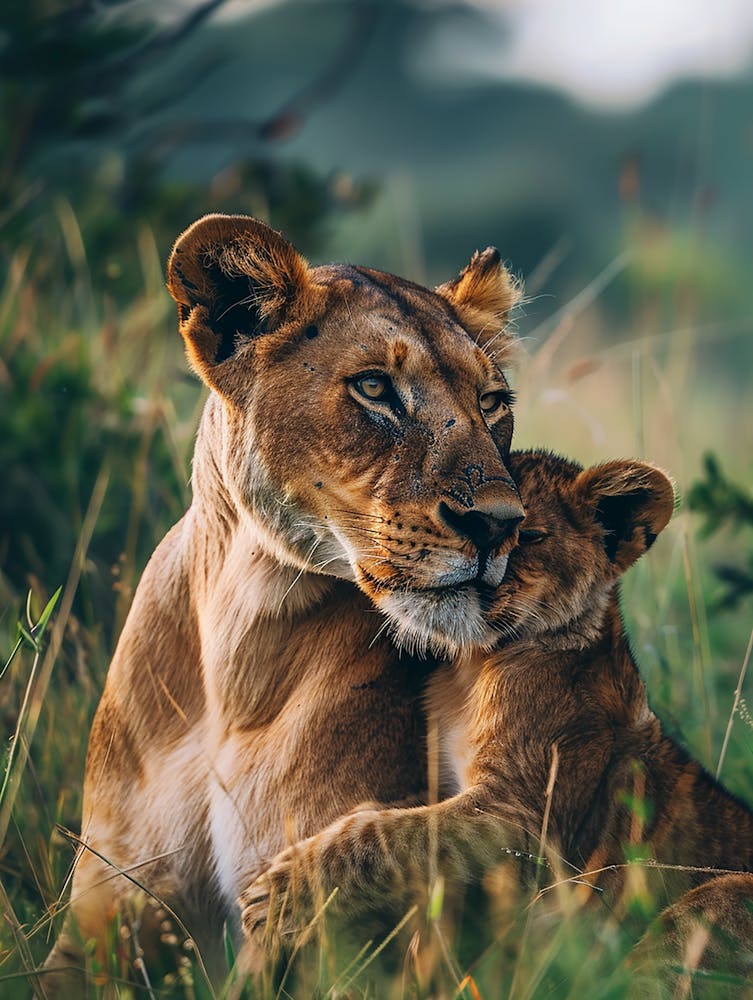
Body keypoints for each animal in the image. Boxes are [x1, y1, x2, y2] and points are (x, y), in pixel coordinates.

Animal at [43, 213, 525, 991]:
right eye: (373, 388)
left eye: (491, 403)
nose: (501, 524)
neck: (237, 651)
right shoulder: (107, 902)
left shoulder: (331, 934)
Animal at [242, 449, 753, 987]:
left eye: (527, 536)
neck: (470, 669)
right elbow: (383, 816)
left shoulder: (520, 816)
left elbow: (394, 835)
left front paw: (274, 897)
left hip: (715, 897)